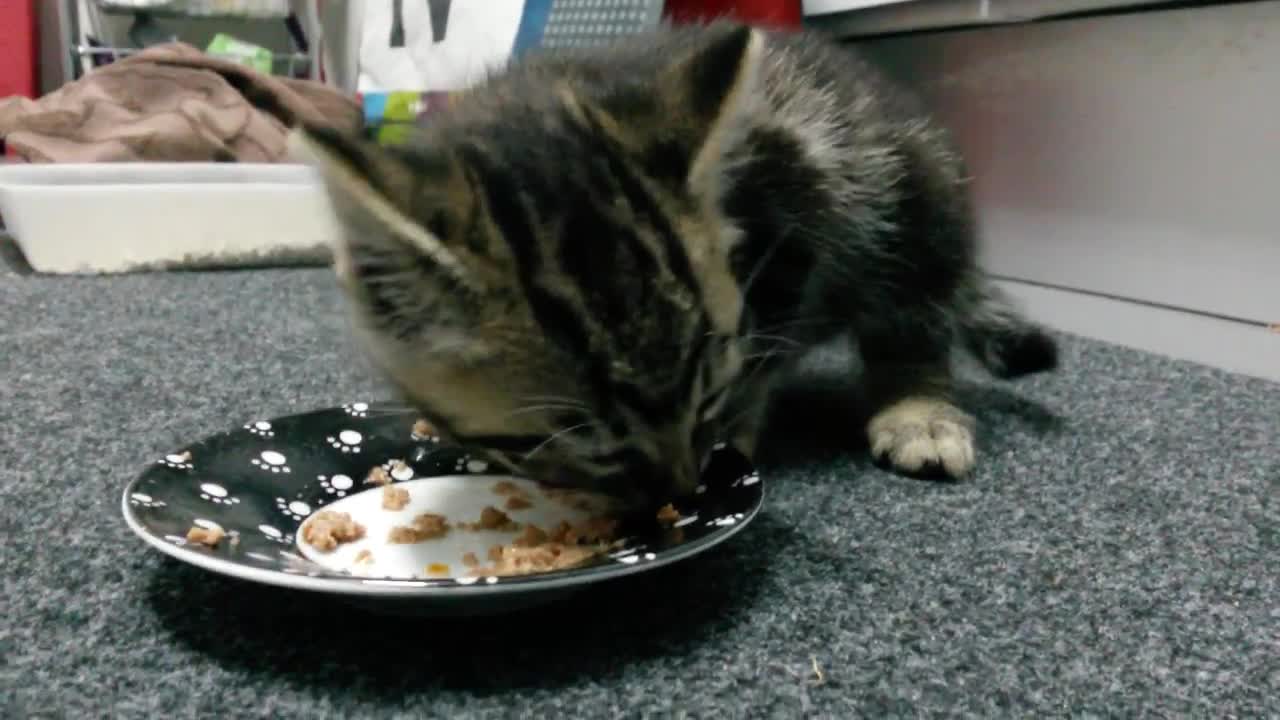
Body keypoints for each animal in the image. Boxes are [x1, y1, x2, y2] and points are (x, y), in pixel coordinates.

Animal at [293, 22, 1059, 504]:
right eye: (569, 436)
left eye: (704, 387)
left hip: (913, 192)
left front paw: (734, 430)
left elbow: (757, 358)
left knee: (914, 308)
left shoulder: (794, 211)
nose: (681, 486)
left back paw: (918, 409)